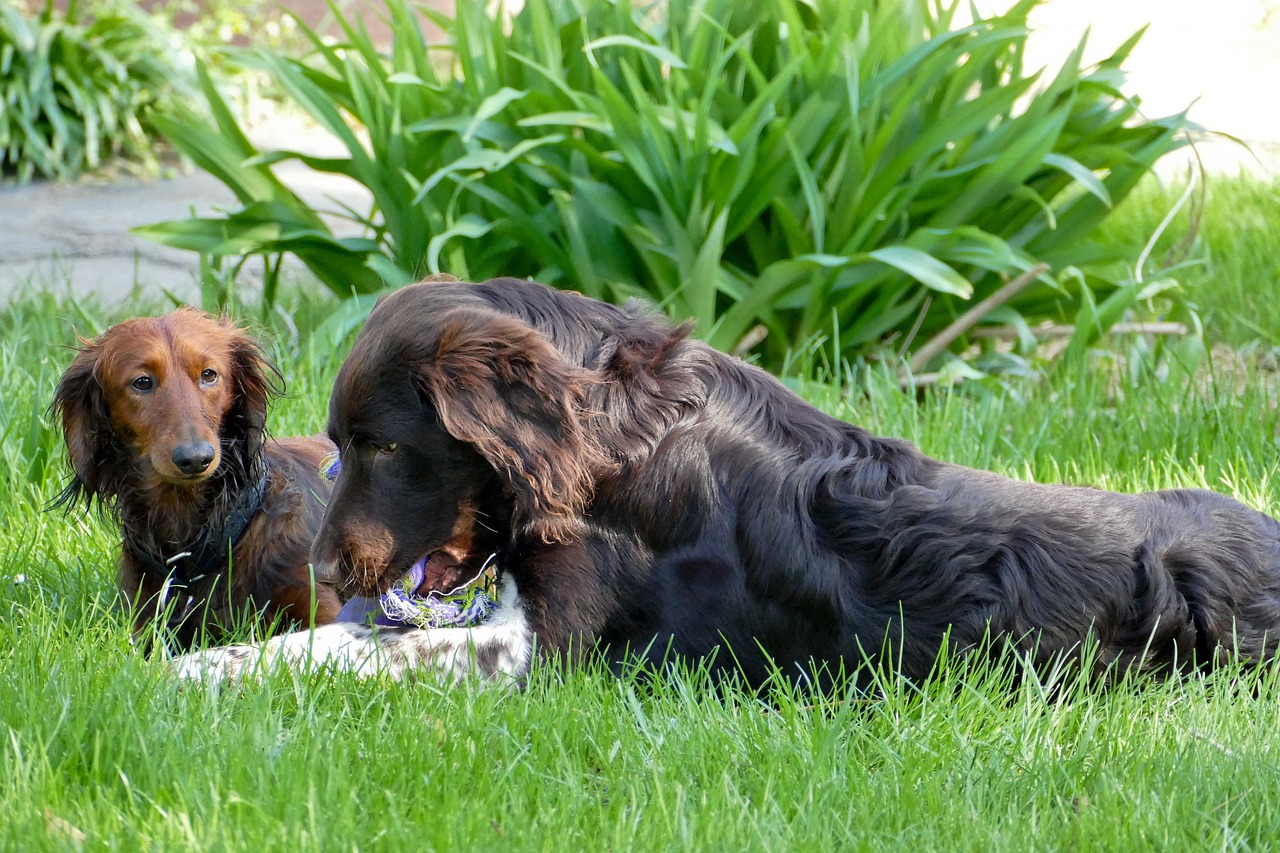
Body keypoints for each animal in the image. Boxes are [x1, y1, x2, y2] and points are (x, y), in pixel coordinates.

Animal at [172, 275, 1280, 686]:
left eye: (388, 450)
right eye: (336, 445)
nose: (325, 568)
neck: (612, 451)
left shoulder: (556, 653)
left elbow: (368, 656)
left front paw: (196, 676)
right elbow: (330, 642)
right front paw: (190, 666)